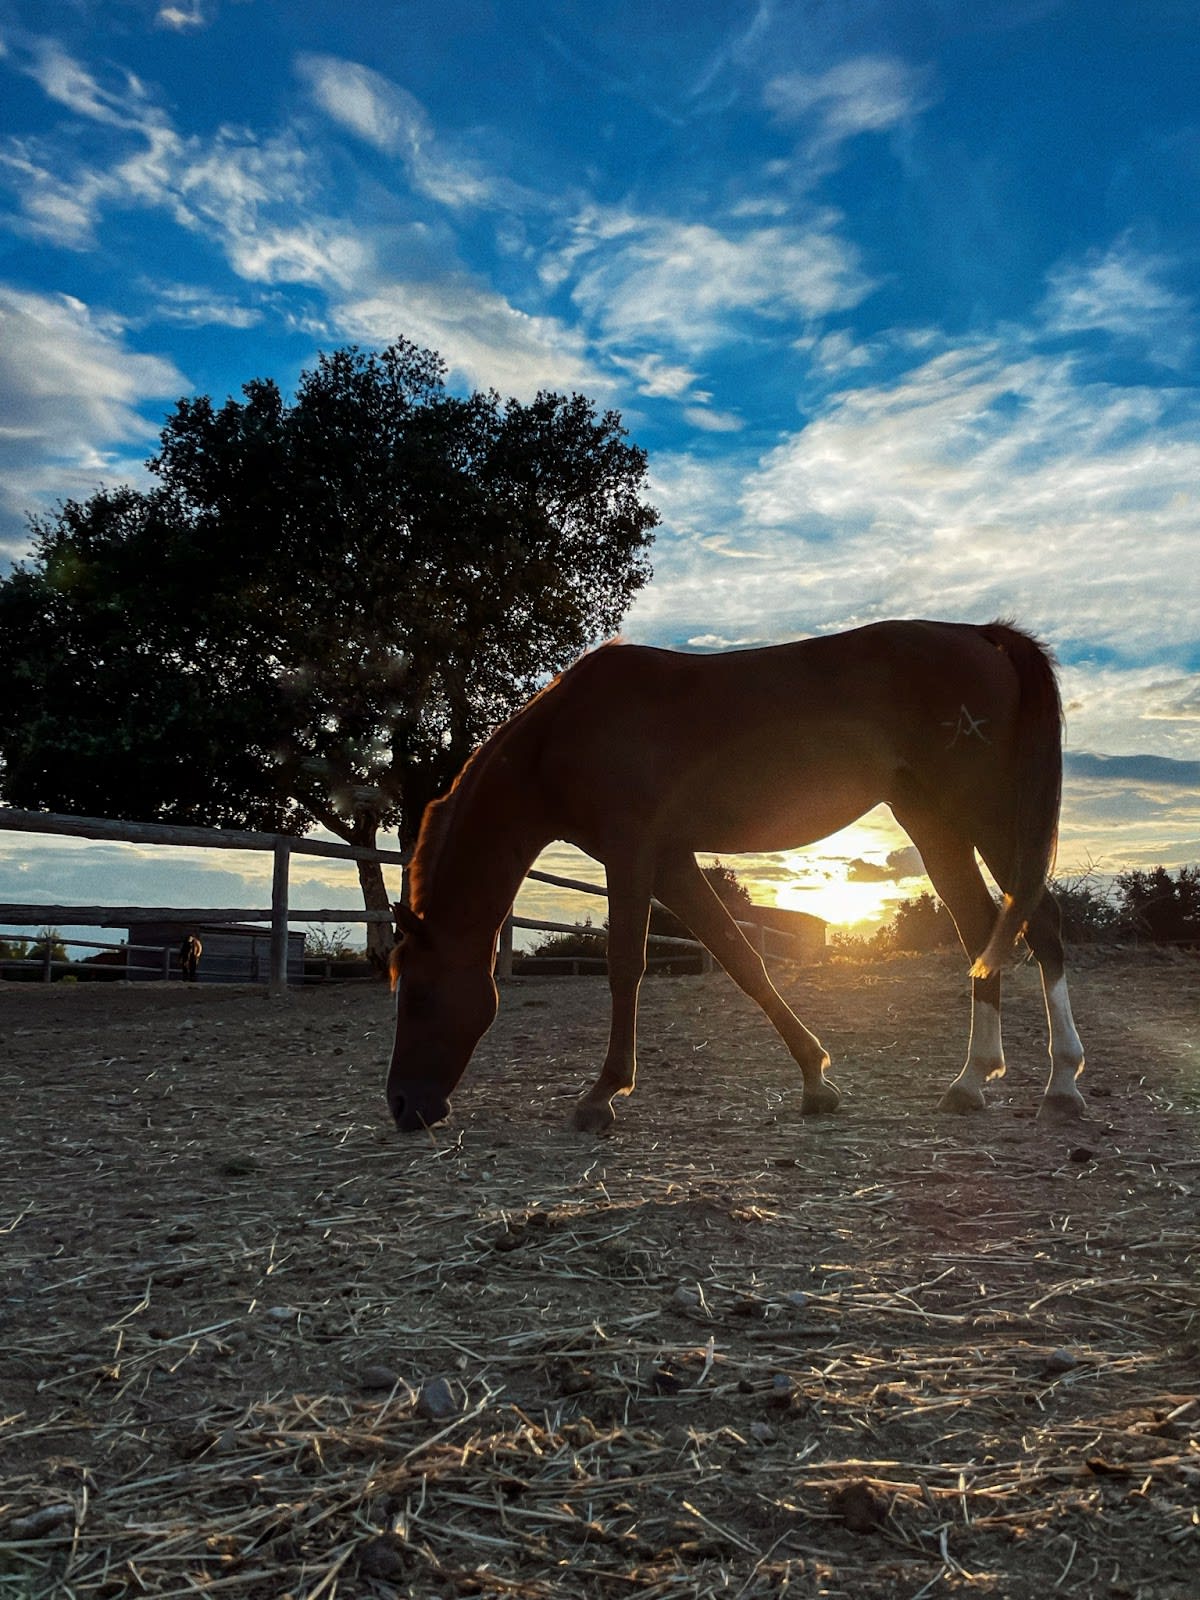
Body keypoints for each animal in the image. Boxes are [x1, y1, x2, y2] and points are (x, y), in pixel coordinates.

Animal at [386, 619, 1086, 1135]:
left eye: (416, 993)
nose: (402, 1106)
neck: (566, 732)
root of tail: (981, 635)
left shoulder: (630, 853)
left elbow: (625, 965)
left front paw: (601, 1094)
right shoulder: (671, 861)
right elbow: (740, 957)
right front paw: (815, 1080)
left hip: (981, 812)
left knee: (1040, 924)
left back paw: (1060, 1085)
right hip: (935, 822)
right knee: (981, 929)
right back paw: (973, 1081)